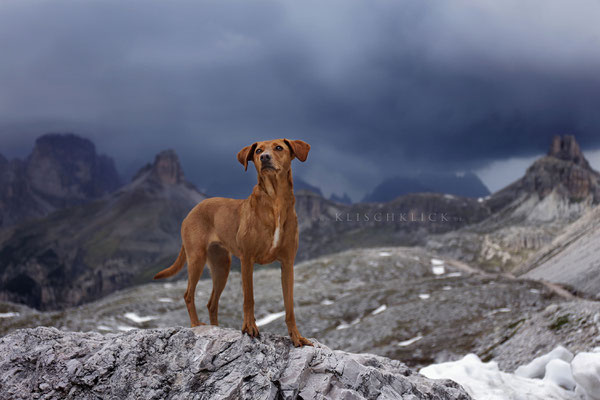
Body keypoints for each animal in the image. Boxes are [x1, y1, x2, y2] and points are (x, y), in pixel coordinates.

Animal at [154, 140, 314, 346]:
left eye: (279, 147)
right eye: (258, 151)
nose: (264, 158)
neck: (275, 202)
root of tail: (193, 210)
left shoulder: (287, 263)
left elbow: (289, 306)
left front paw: (296, 336)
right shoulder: (247, 259)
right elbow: (249, 298)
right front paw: (250, 328)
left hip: (222, 266)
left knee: (212, 303)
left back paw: (215, 328)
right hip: (197, 258)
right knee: (188, 295)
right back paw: (196, 325)